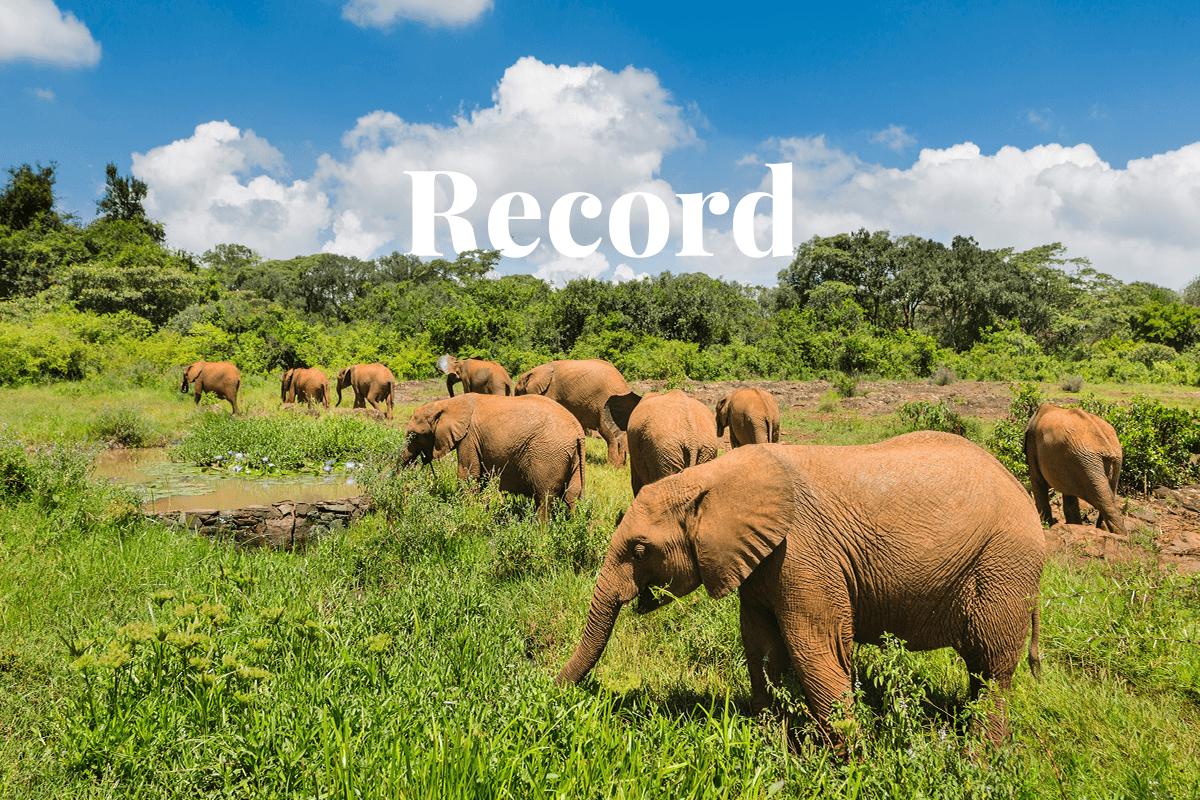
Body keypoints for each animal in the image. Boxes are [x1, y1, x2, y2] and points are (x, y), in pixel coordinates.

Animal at [400, 393, 583, 520]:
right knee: (572, 496)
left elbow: (468, 476)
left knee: (544, 497)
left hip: (548, 455)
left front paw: (469, 514)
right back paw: (572, 526)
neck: (447, 403)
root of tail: (578, 430)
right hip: (572, 457)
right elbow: (481, 479)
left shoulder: (469, 438)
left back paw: (540, 533)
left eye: (415, 435)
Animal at [556, 434, 1046, 748]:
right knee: (981, 670)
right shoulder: (758, 561)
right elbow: (761, 648)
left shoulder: (803, 554)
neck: (712, 478)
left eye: (640, 550)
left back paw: (979, 760)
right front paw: (770, 746)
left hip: (1003, 565)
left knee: (991, 667)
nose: (551, 691)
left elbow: (815, 651)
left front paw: (849, 766)